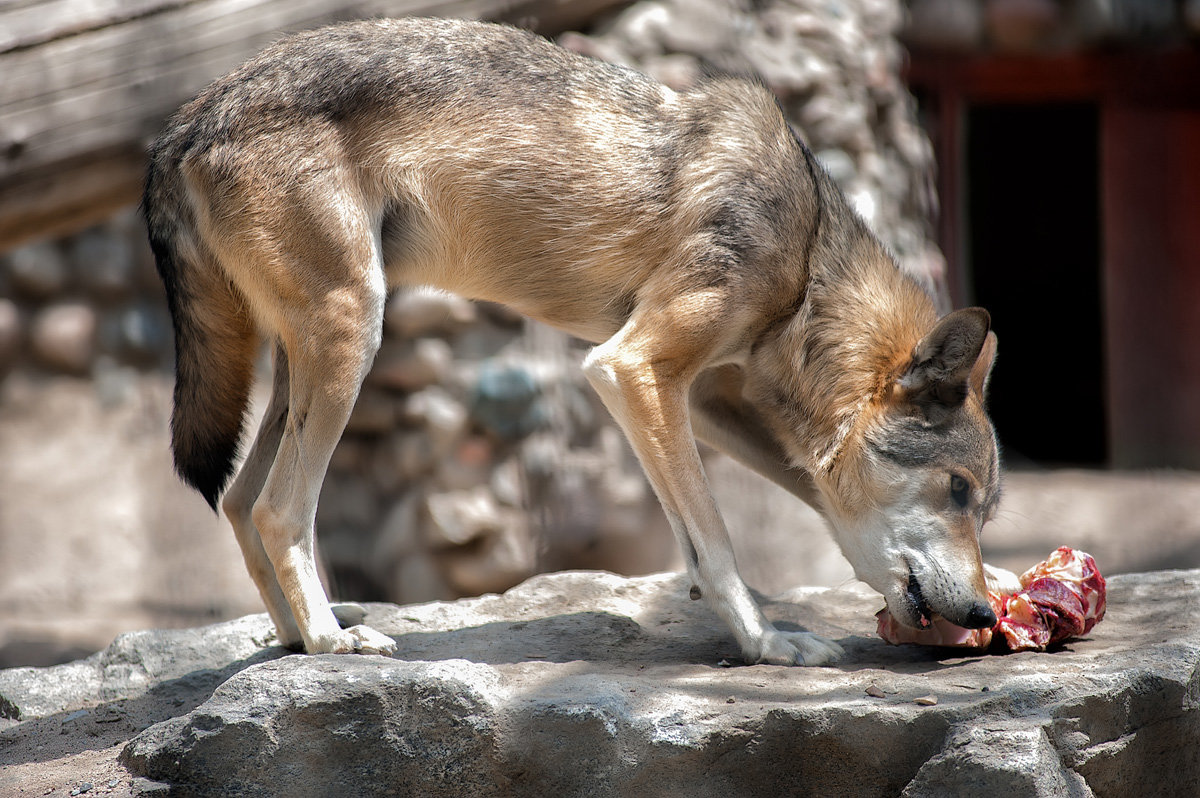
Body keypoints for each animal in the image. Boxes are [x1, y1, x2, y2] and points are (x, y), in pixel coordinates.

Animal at [142, 17, 1003, 667]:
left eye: (983, 509)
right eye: (958, 491)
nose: (985, 615)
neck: (806, 263)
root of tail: (185, 118)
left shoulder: (710, 401)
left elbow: (772, 513)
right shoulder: (633, 368)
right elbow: (717, 541)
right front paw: (765, 643)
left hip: (308, 363)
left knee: (241, 500)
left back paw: (291, 640)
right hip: (353, 335)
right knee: (280, 509)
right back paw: (330, 642)